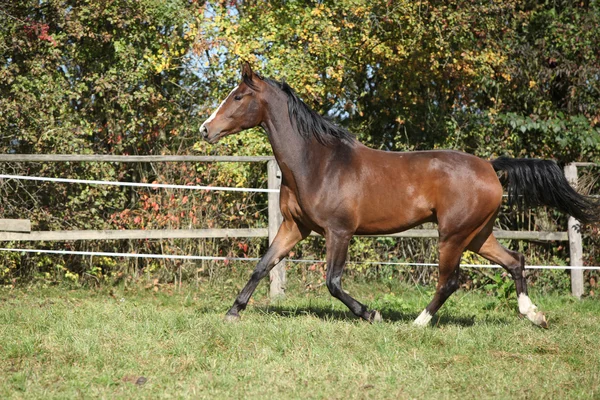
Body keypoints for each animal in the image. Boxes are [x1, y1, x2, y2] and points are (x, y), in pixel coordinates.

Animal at [200, 61, 600, 326]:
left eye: (238, 97)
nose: (205, 129)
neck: (317, 162)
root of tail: (489, 166)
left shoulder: (339, 231)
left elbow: (332, 282)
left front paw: (371, 313)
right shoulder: (294, 226)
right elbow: (262, 266)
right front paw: (232, 312)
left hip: (452, 235)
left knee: (449, 280)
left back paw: (418, 322)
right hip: (477, 235)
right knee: (514, 261)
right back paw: (534, 315)